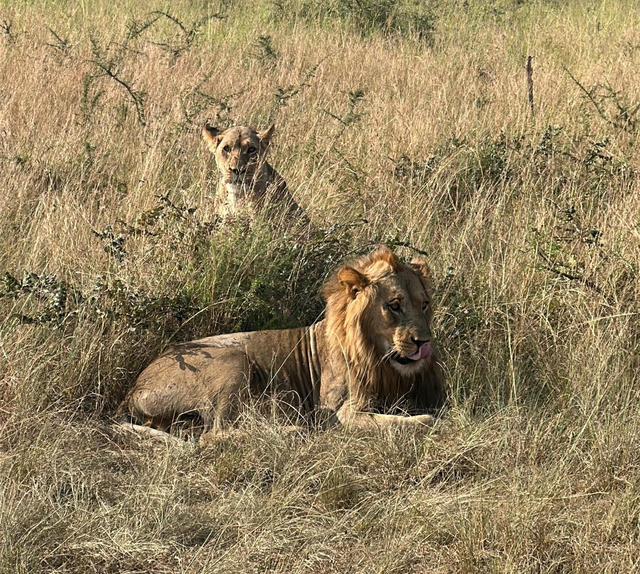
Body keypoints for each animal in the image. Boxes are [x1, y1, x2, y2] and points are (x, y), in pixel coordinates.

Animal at [117, 247, 446, 441]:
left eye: (425, 304)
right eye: (394, 305)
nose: (424, 343)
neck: (382, 361)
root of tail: (133, 390)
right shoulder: (340, 413)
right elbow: (424, 421)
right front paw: (432, 422)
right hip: (233, 359)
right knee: (214, 434)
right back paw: (290, 430)